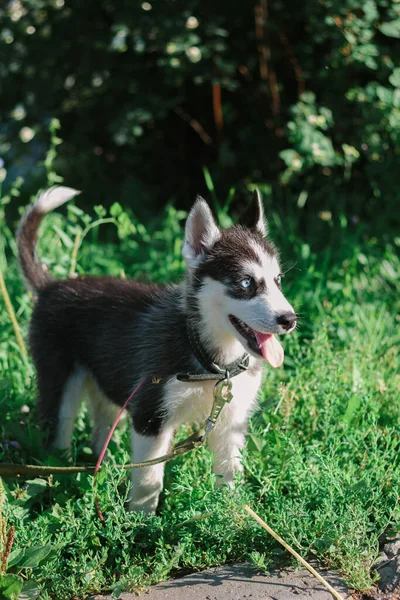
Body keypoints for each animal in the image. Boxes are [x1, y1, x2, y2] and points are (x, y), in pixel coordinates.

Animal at [17, 186, 296, 510]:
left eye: (278, 280)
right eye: (246, 283)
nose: (290, 319)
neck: (209, 359)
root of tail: (51, 286)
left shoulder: (232, 420)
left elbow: (229, 473)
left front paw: (230, 513)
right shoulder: (150, 417)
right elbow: (149, 480)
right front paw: (140, 519)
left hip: (110, 386)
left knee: (101, 428)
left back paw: (104, 469)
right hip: (59, 385)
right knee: (57, 437)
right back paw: (58, 479)